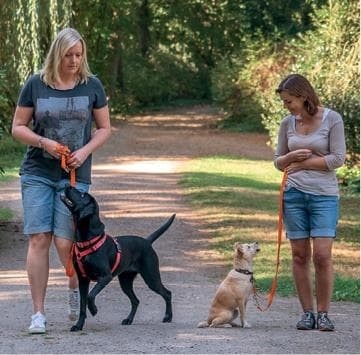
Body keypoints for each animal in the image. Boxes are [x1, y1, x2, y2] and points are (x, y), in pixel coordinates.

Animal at [60, 188, 176, 332]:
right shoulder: (83, 279)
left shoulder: (105, 276)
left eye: (82, 194)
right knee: (136, 300)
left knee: (167, 293)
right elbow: (82, 305)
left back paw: (168, 317)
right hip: (125, 281)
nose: (67, 185)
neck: (87, 241)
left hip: (151, 277)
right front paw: (78, 325)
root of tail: (147, 242)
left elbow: (91, 296)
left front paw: (94, 310)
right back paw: (129, 320)